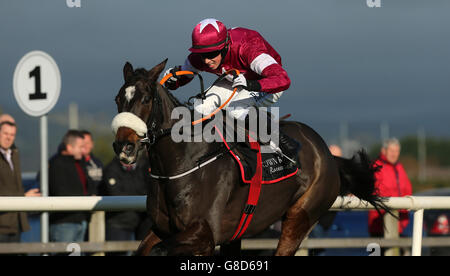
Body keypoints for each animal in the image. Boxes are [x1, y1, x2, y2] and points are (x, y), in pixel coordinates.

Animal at [111, 59, 386, 256]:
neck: (185, 161)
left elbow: (159, 251)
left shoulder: (204, 234)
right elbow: (144, 249)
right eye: (118, 99)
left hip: (301, 215)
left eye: (146, 98)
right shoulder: (162, 229)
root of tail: (328, 153)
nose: (124, 146)